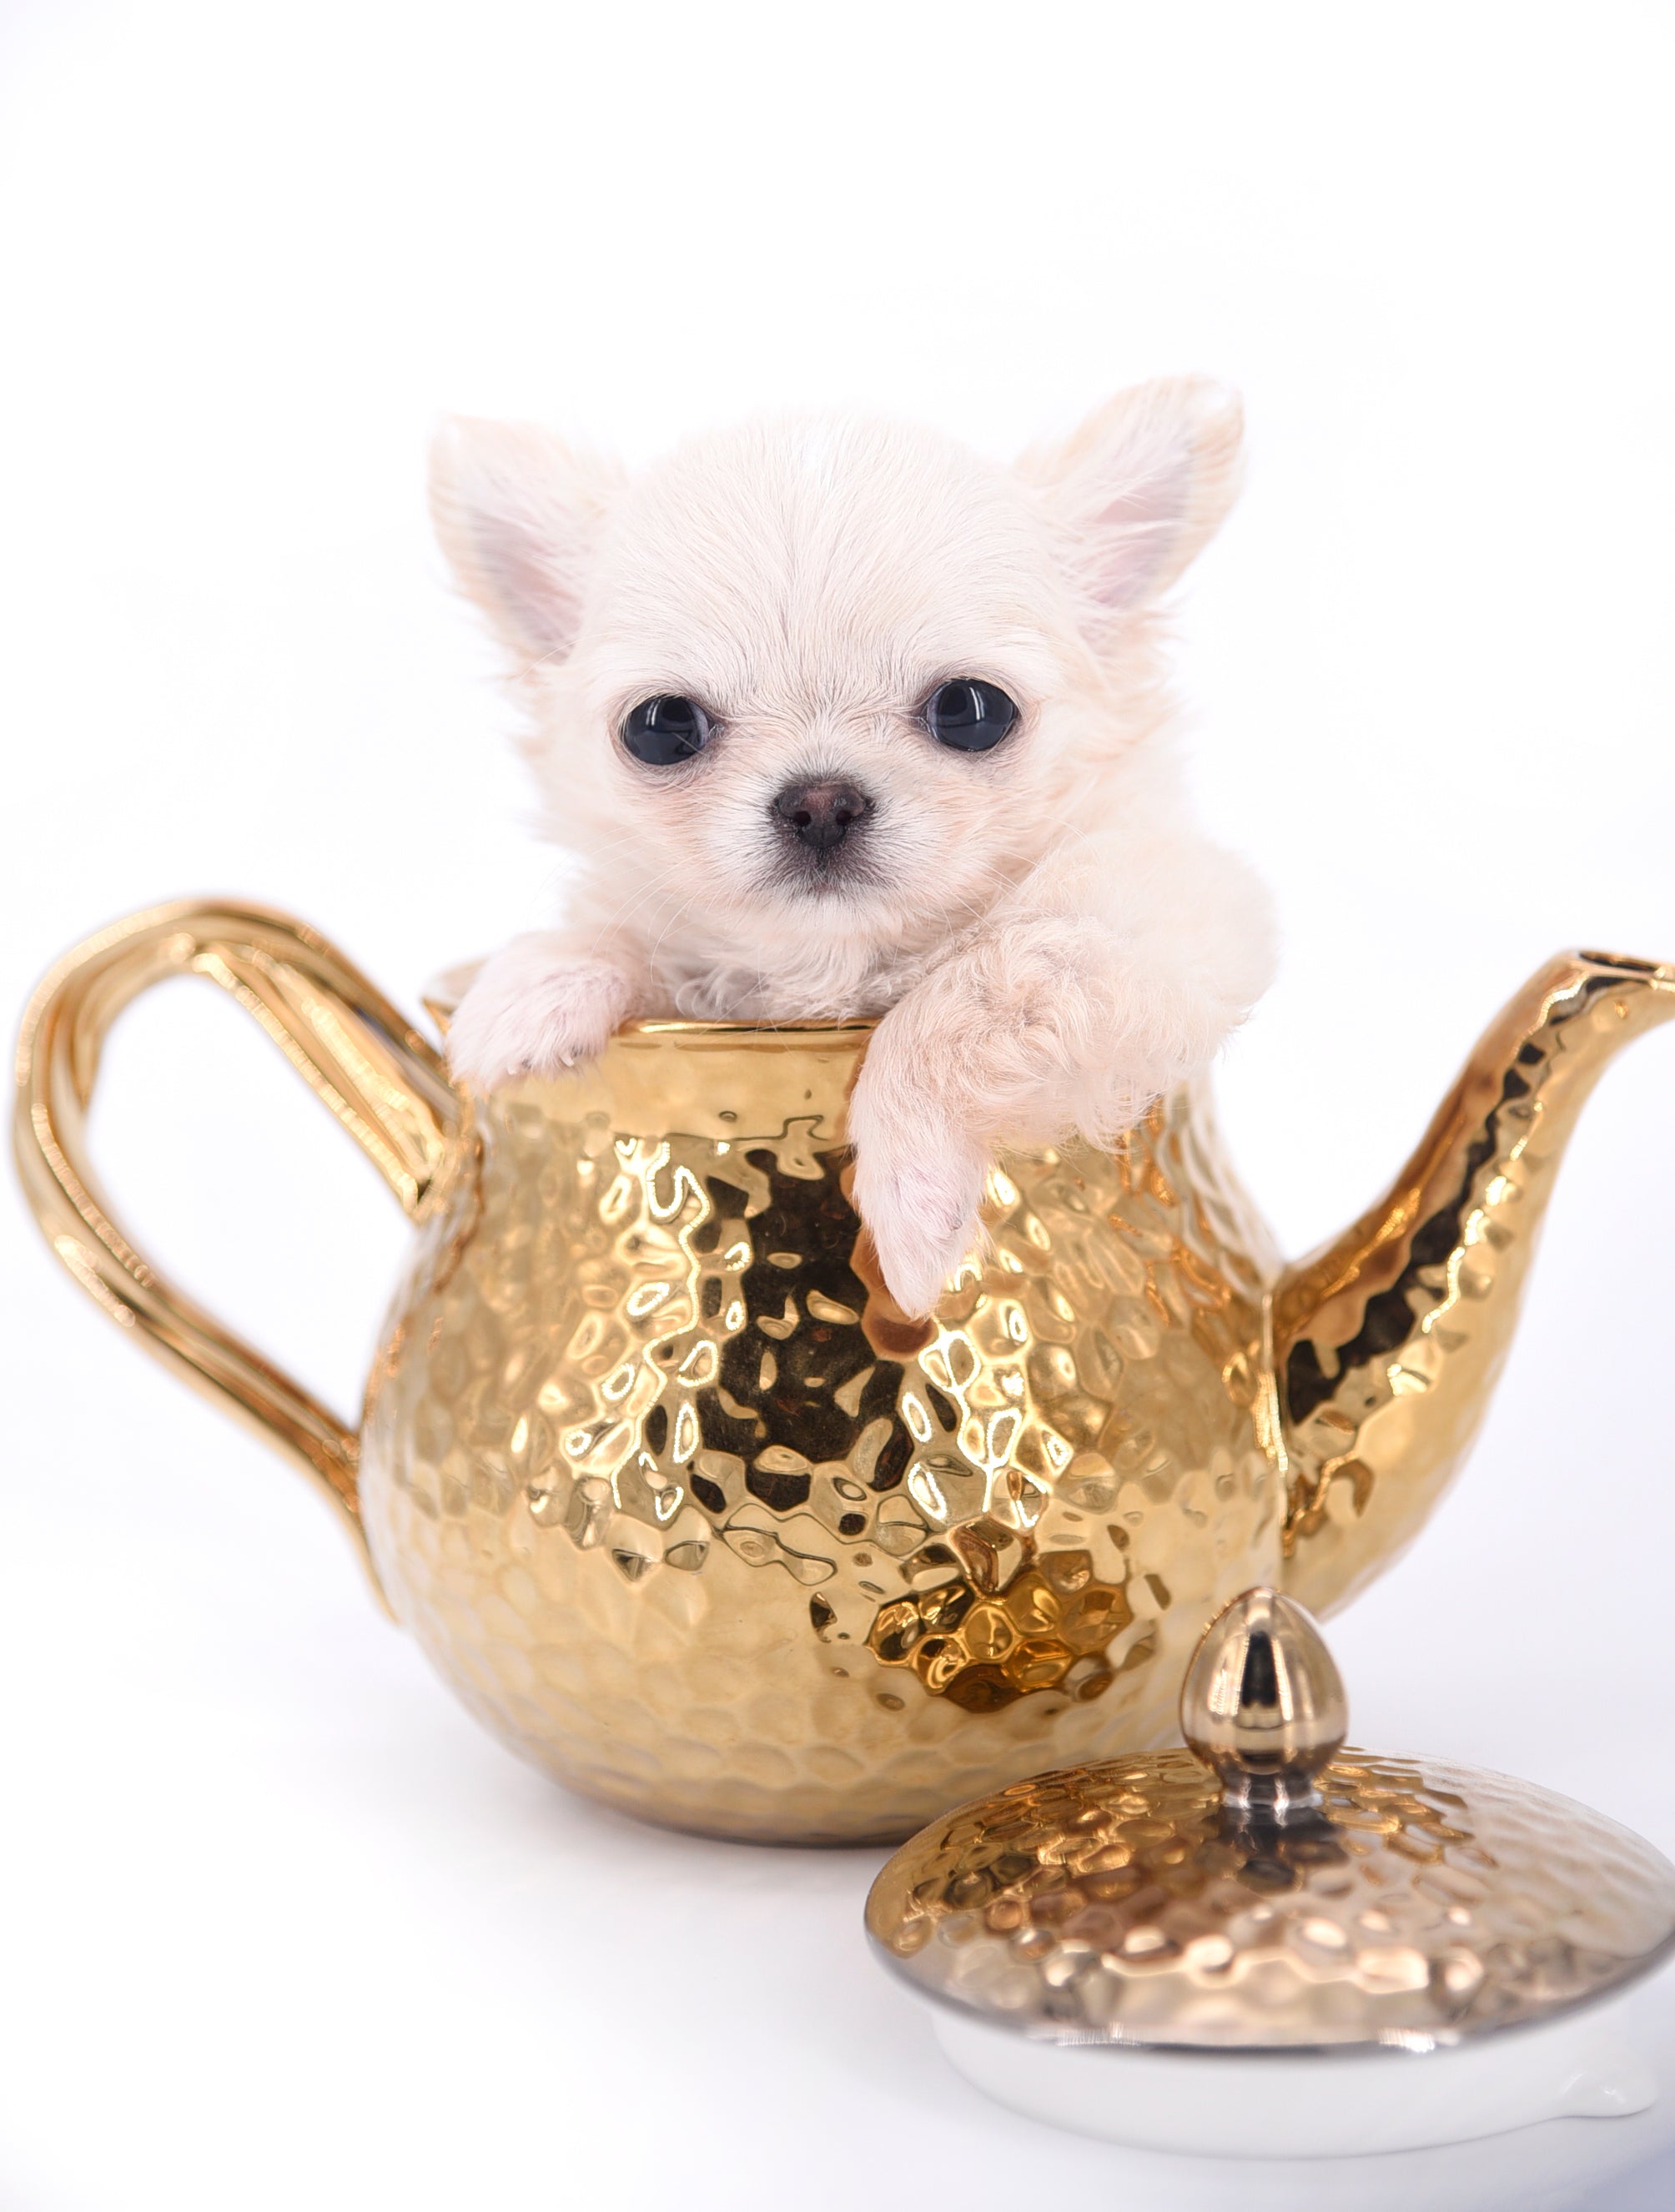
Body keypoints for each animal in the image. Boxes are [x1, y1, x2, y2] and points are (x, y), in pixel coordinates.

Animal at [434, 379, 1275, 1318]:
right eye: (661, 729)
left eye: (972, 712)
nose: (820, 801)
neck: (839, 961)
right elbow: (639, 936)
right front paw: (539, 982)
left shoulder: (1149, 917)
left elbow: (958, 998)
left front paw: (912, 1199)